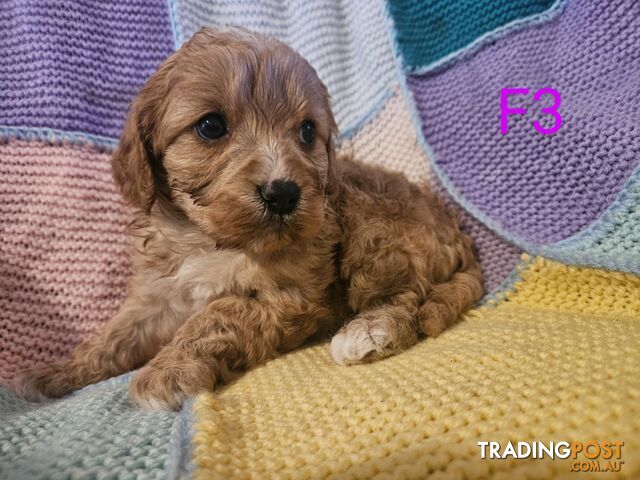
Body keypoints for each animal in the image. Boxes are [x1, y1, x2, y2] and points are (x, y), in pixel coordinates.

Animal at [13, 27, 484, 408]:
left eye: (307, 132)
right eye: (210, 126)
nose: (284, 193)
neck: (212, 240)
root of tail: (458, 234)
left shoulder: (289, 297)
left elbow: (217, 314)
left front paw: (166, 372)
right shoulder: (159, 295)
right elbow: (115, 334)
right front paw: (56, 372)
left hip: (373, 228)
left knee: (408, 296)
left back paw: (369, 330)